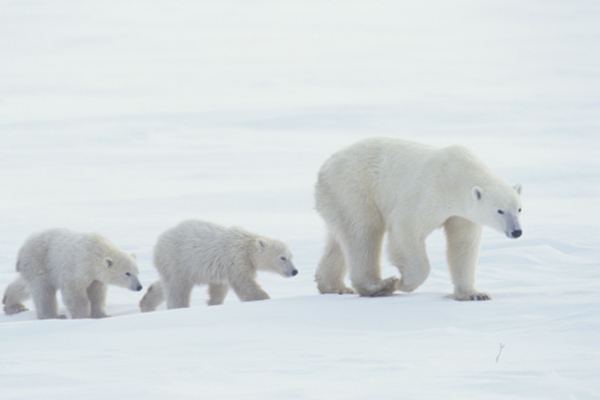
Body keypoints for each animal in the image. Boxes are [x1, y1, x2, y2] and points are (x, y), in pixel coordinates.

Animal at [2, 228, 143, 318]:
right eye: (127, 273)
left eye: (137, 272)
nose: (139, 287)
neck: (96, 251)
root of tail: (22, 250)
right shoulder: (78, 268)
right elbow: (75, 293)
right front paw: (82, 315)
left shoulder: (95, 277)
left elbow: (97, 294)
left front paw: (103, 315)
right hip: (40, 261)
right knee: (43, 291)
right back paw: (53, 316)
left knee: (25, 286)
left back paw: (11, 303)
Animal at [141, 220, 300, 310]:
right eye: (282, 258)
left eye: (291, 256)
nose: (295, 271)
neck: (247, 246)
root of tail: (159, 242)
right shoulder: (236, 259)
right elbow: (245, 284)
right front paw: (264, 299)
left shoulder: (223, 270)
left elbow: (219, 289)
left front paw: (213, 303)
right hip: (177, 259)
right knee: (177, 288)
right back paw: (179, 307)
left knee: (165, 284)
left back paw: (146, 303)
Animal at [316, 138, 524, 300]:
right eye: (500, 211)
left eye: (519, 209)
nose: (517, 231)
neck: (456, 176)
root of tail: (324, 168)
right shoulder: (427, 193)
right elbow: (406, 230)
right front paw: (402, 282)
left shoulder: (463, 215)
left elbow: (463, 245)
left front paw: (474, 294)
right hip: (353, 189)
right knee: (363, 233)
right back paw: (380, 286)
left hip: (338, 199)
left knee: (339, 240)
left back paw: (334, 286)